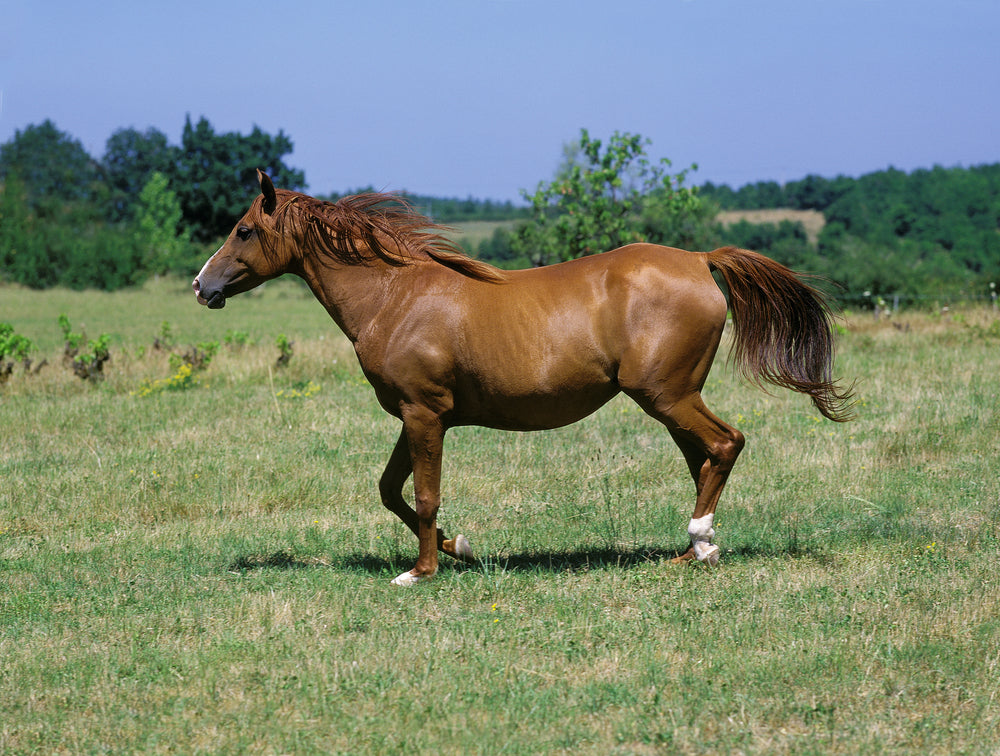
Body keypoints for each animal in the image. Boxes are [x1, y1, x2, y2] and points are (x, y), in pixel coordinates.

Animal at [194, 171, 854, 586]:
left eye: (244, 230)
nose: (203, 286)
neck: (395, 295)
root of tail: (698, 261)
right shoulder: (415, 415)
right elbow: (389, 491)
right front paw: (459, 547)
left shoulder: (424, 414)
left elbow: (424, 496)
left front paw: (421, 571)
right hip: (673, 400)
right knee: (706, 459)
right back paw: (695, 551)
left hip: (666, 396)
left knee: (725, 444)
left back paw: (699, 543)